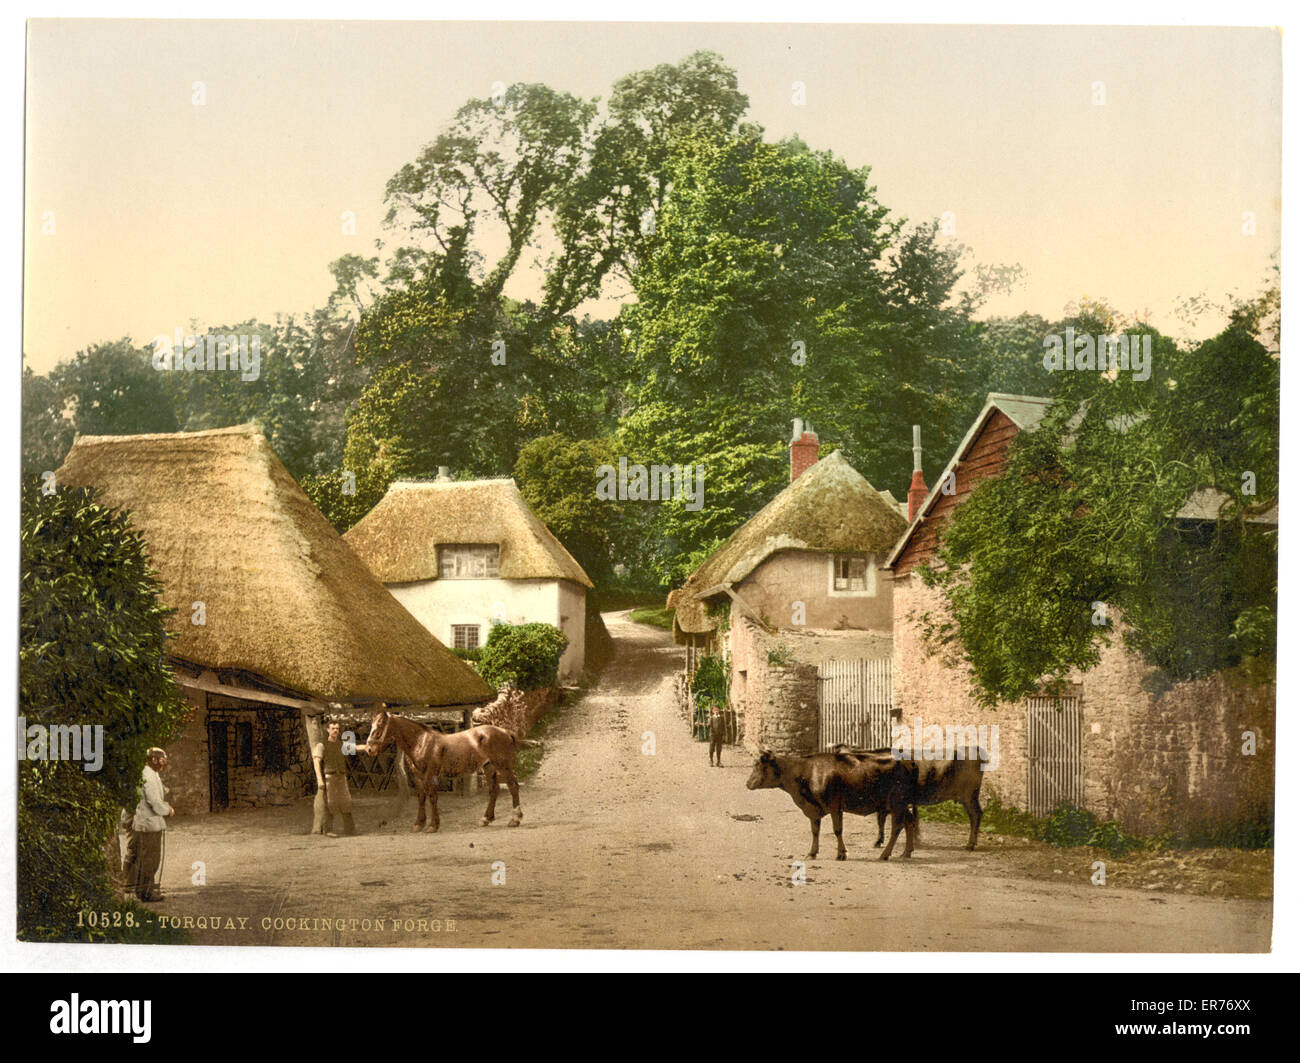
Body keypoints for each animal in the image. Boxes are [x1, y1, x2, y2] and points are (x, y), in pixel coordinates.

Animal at [361, 706, 522, 831]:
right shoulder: (418, 776)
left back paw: (515, 819)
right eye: (372, 725)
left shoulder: (430, 775)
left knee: (513, 786)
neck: (420, 742)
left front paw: (433, 825)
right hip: (489, 767)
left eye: (380, 725)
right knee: (494, 790)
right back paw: (486, 819)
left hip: (503, 766)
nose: (369, 749)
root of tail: (506, 732)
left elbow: (432, 797)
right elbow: (421, 797)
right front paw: (419, 824)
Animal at [748, 743, 920, 862]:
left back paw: (885, 854)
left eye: (759, 765)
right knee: (909, 821)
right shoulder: (814, 809)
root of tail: (908, 760)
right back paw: (906, 852)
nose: (747, 783)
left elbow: (837, 830)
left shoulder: (835, 805)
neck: (807, 772)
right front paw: (812, 853)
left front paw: (841, 854)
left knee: (897, 826)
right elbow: (815, 831)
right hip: (900, 803)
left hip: (897, 801)